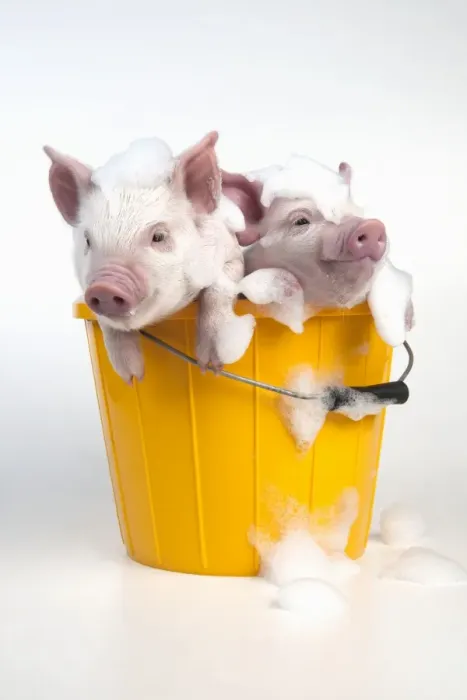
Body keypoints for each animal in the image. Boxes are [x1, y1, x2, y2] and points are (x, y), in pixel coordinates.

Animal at [44, 132, 255, 382]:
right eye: (87, 240)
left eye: (159, 236)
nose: (104, 287)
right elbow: (107, 322)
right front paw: (131, 378)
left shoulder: (233, 256)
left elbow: (218, 288)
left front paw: (212, 368)